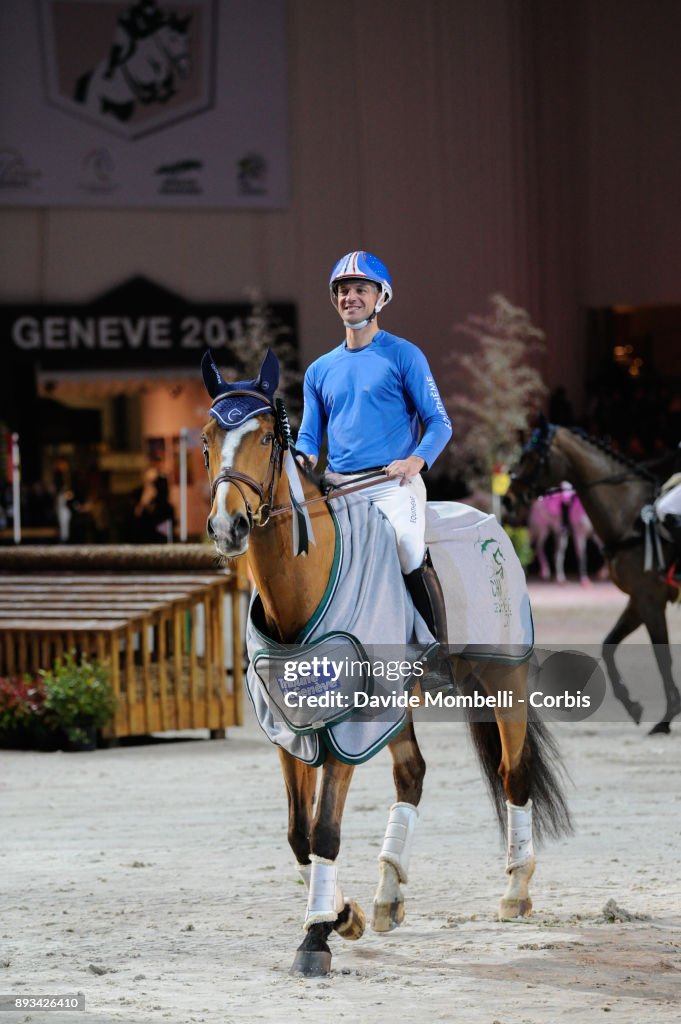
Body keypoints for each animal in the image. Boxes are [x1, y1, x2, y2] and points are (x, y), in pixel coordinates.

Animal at [200, 352, 569, 974]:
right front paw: (338, 913)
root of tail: (490, 522)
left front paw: (315, 939)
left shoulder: (348, 723)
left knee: (513, 773)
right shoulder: (290, 723)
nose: (230, 526)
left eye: (266, 438)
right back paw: (387, 895)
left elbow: (324, 829)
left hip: (502, 676)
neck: (301, 586)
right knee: (412, 774)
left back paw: (516, 890)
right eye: (207, 439)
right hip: (400, 700)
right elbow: (300, 834)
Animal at [507, 417, 675, 737]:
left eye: (530, 455)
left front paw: (667, 717)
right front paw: (632, 705)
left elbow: (663, 659)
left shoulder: (650, 599)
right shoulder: (639, 599)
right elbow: (609, 646)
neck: (630, 515)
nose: (509, 498)